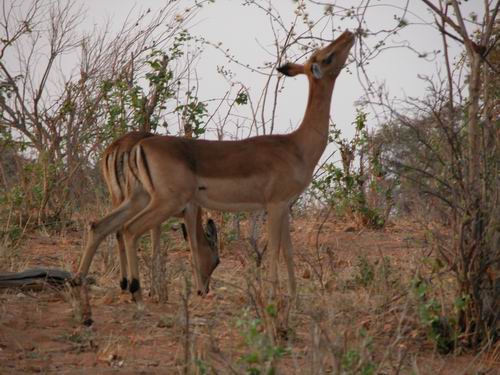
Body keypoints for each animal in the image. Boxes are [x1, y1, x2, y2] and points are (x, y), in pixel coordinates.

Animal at [101, 131, 219, 296]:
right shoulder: (190, 210)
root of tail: (116, 147)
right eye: (217, 262)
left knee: (117, 232)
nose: (206, 289)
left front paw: (154, 290)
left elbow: (155, 246)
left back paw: (124, 283)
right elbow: (191, 245)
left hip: (119, 199)